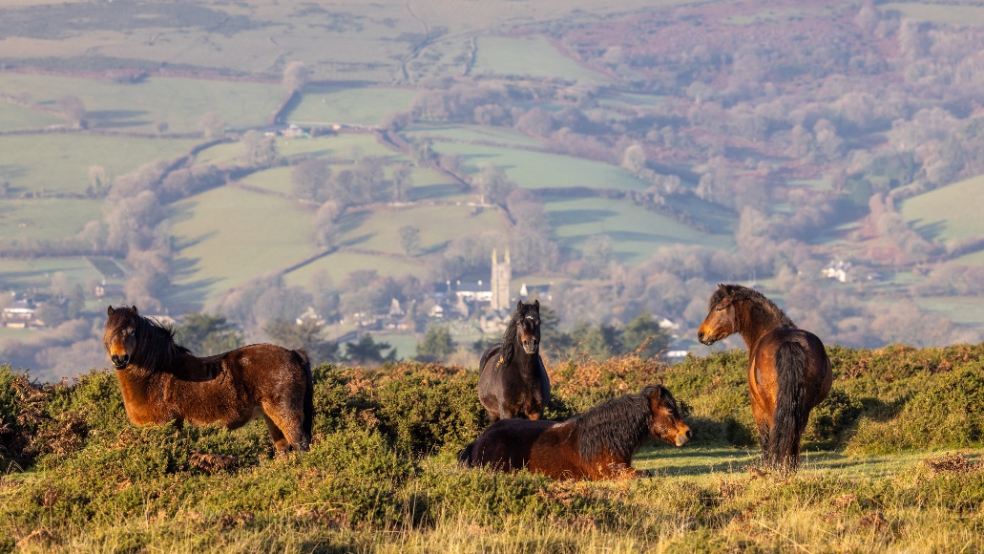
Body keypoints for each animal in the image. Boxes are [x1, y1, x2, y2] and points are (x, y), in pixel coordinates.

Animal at [104, 304, 314, 450]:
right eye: (108, 332)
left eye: (132, 332)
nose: (119, 359)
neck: (155, 375)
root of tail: (293, 353)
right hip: (270, 416)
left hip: (285, 413)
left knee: (300, 445)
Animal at [696, 282, 836, 468]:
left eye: (718, 308)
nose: (701, 334)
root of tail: (790, 343)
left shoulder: (757, 406)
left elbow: (764, 436)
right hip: (803, 405)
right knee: (795, 432)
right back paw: (790, 465)